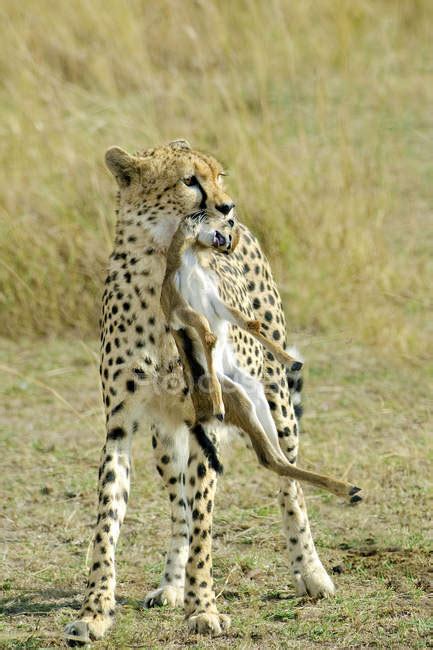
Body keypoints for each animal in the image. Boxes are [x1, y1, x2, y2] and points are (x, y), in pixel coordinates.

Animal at [65, 138, 358, 644]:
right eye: (189, 180)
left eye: (219, 176)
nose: (227, 209)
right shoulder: (121, 426)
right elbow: (109, 522)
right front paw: (96, 610)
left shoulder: (209, 418)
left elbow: (205, 523)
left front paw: (202, 608)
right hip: (165, 439)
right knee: (179, 507)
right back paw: (170, 585)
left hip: (276, 403)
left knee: (288, 483)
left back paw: (312, 571)